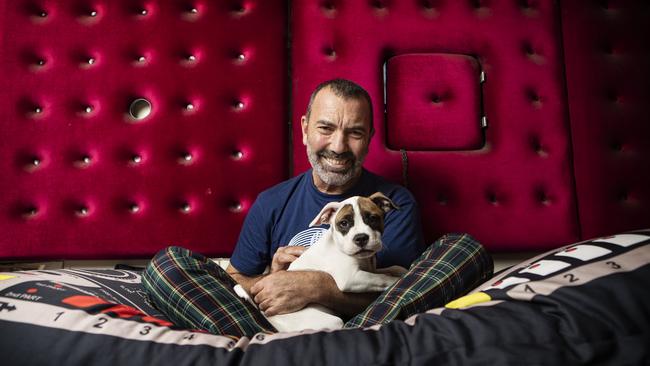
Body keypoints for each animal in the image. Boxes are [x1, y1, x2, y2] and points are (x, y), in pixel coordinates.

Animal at [233, 193, 404, 334]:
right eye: (343, 223)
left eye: (372, 218)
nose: (361, 238)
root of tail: (271, 322)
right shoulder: (350, 278)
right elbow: (381, 278)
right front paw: (396, 280)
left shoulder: (369, 268)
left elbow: (388, 269)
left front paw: (401, 270)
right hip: (332, 321)